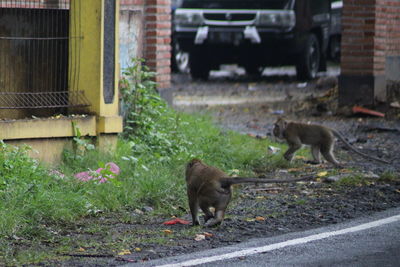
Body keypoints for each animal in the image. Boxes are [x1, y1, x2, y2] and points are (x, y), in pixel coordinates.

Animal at [186, 160, 314, 227]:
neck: (198, 166)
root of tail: (223, 179)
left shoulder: (191, 185)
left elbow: (193, 201)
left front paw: (195, 222)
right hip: (224, 196)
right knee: (219, 211)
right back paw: (215, 220)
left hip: (210, 191)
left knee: (201, 200)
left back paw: (209, 217)